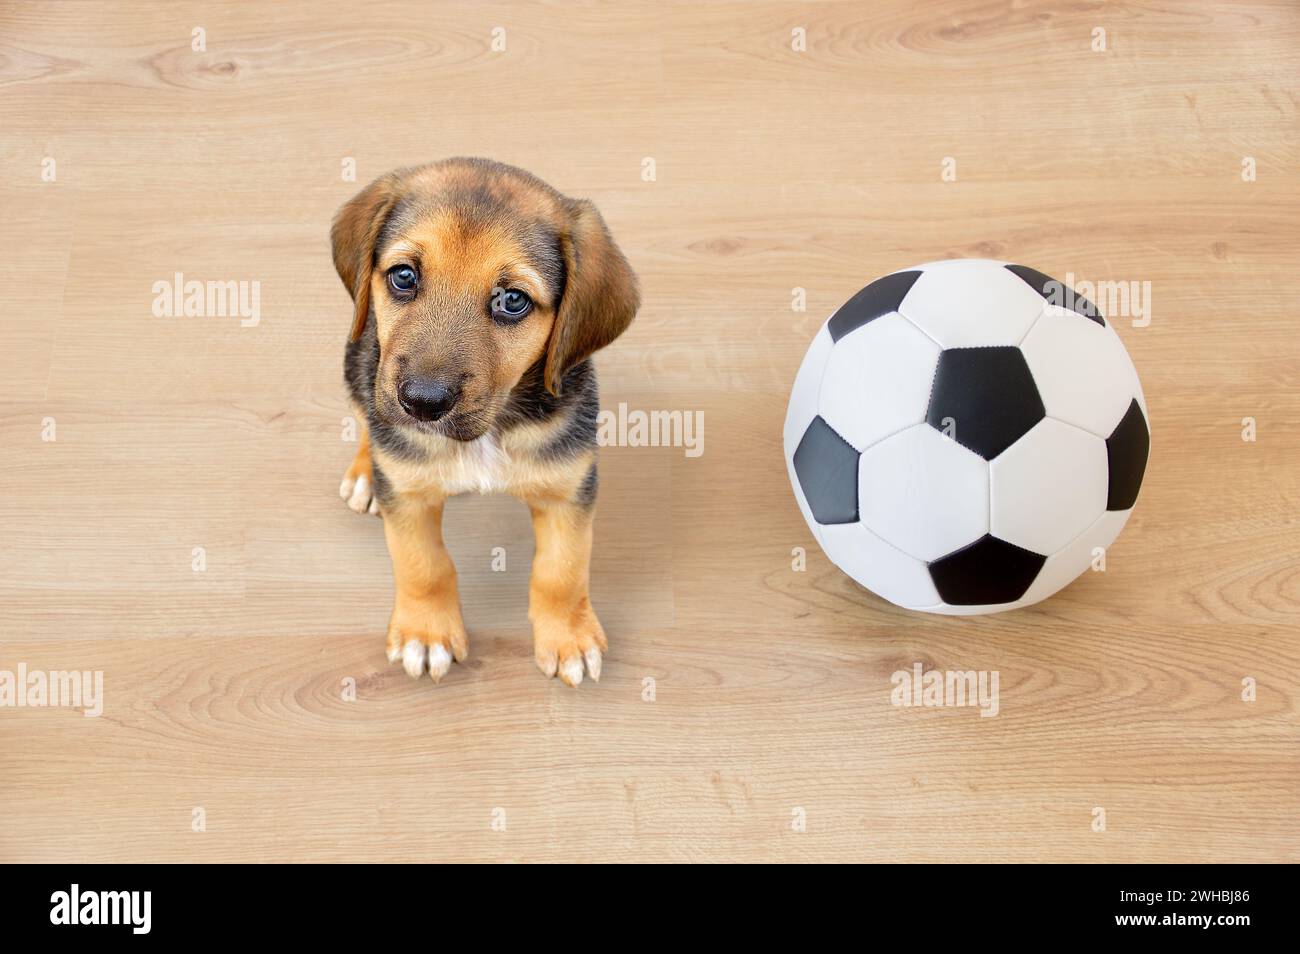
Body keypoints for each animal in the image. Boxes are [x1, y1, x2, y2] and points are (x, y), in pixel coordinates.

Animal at [330, 158, 639, 686]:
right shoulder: (408, 496)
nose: (422, 403)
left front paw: (569, 638)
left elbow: (562, 571)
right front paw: (426, 633)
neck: (490, 428)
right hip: (359, 361)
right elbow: (423, 565)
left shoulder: (569, 488)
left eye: (512, 300)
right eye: (404, 276)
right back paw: (366, 474)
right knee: (365, 416)